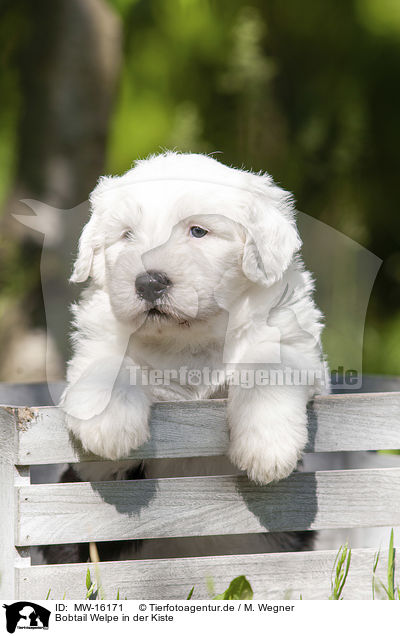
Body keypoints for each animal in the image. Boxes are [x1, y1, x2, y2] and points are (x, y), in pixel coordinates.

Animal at [61, 152, 326, 484]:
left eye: (198, 231)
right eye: (127, 235)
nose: (149, 283)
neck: (189, 337)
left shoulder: (293, 339)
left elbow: (269, 366)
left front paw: (268, 449)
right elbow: (109, 361)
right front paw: (107, 422)